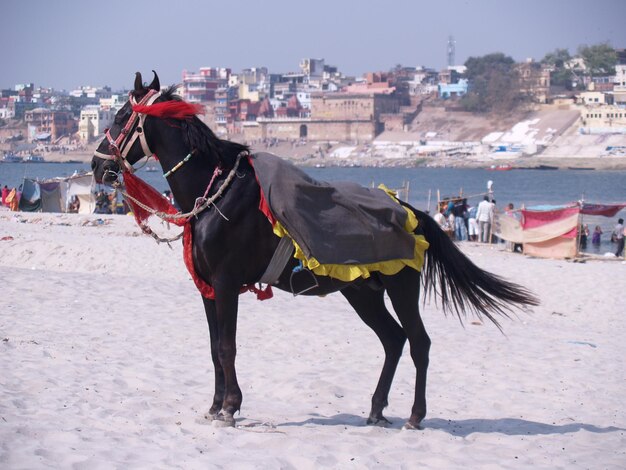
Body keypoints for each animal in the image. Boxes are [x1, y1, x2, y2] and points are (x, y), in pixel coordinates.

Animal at [91, 70, 536, 430]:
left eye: (119, 116)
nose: (96, 166)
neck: (215, 192)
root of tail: (410, 210)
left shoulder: (227, 282)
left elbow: (227, 346)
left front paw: (231, 407)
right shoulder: (208, 289)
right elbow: (215, 349)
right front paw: (216, 405)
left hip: (401, 287)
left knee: (418, 343)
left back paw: (414, 415)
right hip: (362, 292)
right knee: (394, 340)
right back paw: (376, 409)